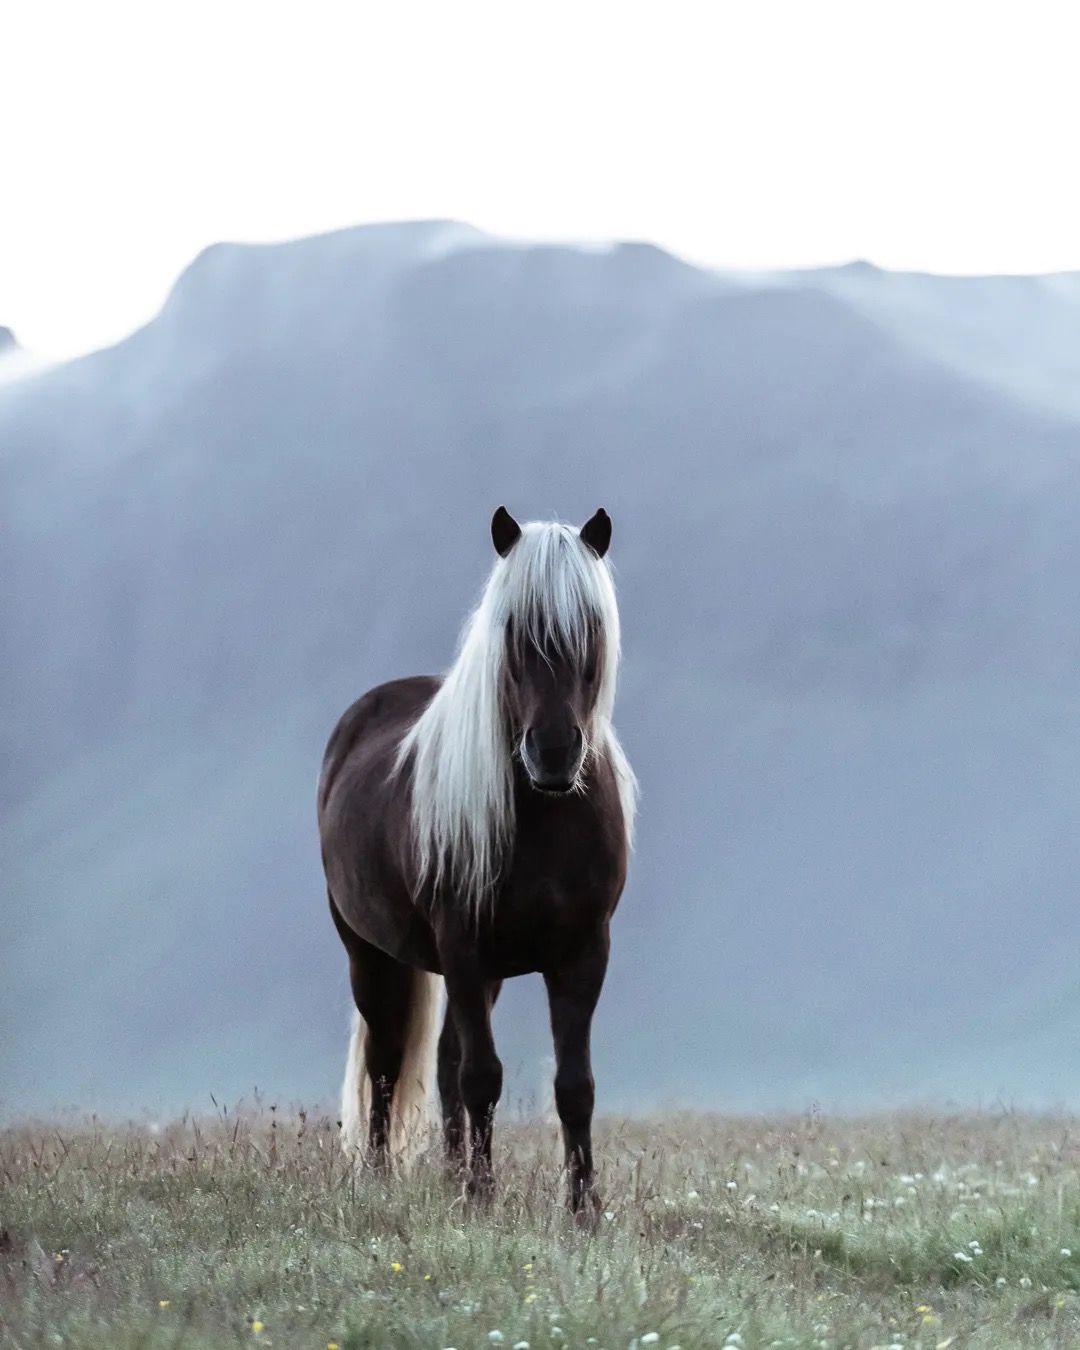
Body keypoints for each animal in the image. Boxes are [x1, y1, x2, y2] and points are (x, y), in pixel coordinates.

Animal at [317, 506, 636, 1210]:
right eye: (514, 629)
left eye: (591, 626)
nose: (553, 752)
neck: (545, 817)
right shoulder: (462, 944)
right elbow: (482, 1077)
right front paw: (483, 1199)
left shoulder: (584, 952)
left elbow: (574, 1085)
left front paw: (583, 1209)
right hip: (370, 953)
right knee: (388, 1061)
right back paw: (382, 1179)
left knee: (440, 1063)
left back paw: (450, 1175)